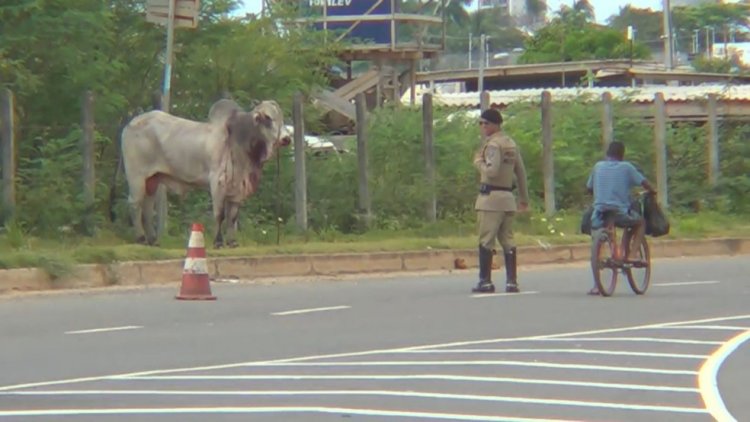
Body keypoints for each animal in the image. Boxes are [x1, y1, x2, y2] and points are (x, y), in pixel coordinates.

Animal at [119, 100, 290, 247]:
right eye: (268, 118)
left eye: (282, 118)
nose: (286, 138)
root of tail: (131, 123)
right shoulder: (217, 182)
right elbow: (220, 214)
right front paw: (218, 242)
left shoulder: (237, 188)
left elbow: (232, 216)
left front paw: (232, 242)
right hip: (136, 177)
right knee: (135, 204)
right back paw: (141, 238)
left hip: (152, 180)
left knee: (147, 209)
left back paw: (153, 240)